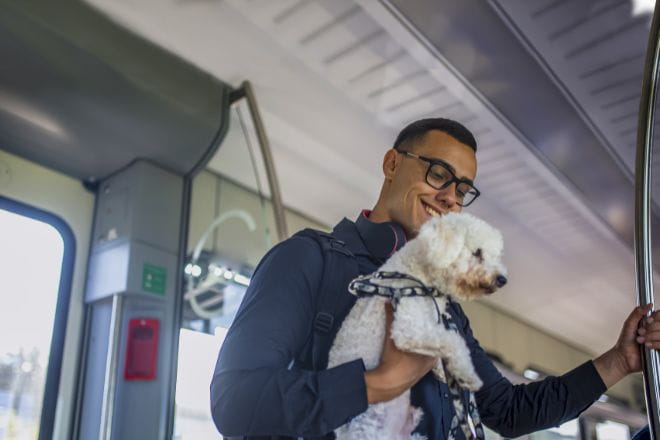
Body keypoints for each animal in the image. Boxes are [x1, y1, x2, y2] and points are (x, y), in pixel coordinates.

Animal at [328, 211, 508, 438]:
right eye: (477, 252)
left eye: (496, 255)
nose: (502, 280)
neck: (419, 276)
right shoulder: (408, 330)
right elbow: (454, 341)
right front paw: (467, 374)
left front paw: (442, 371)